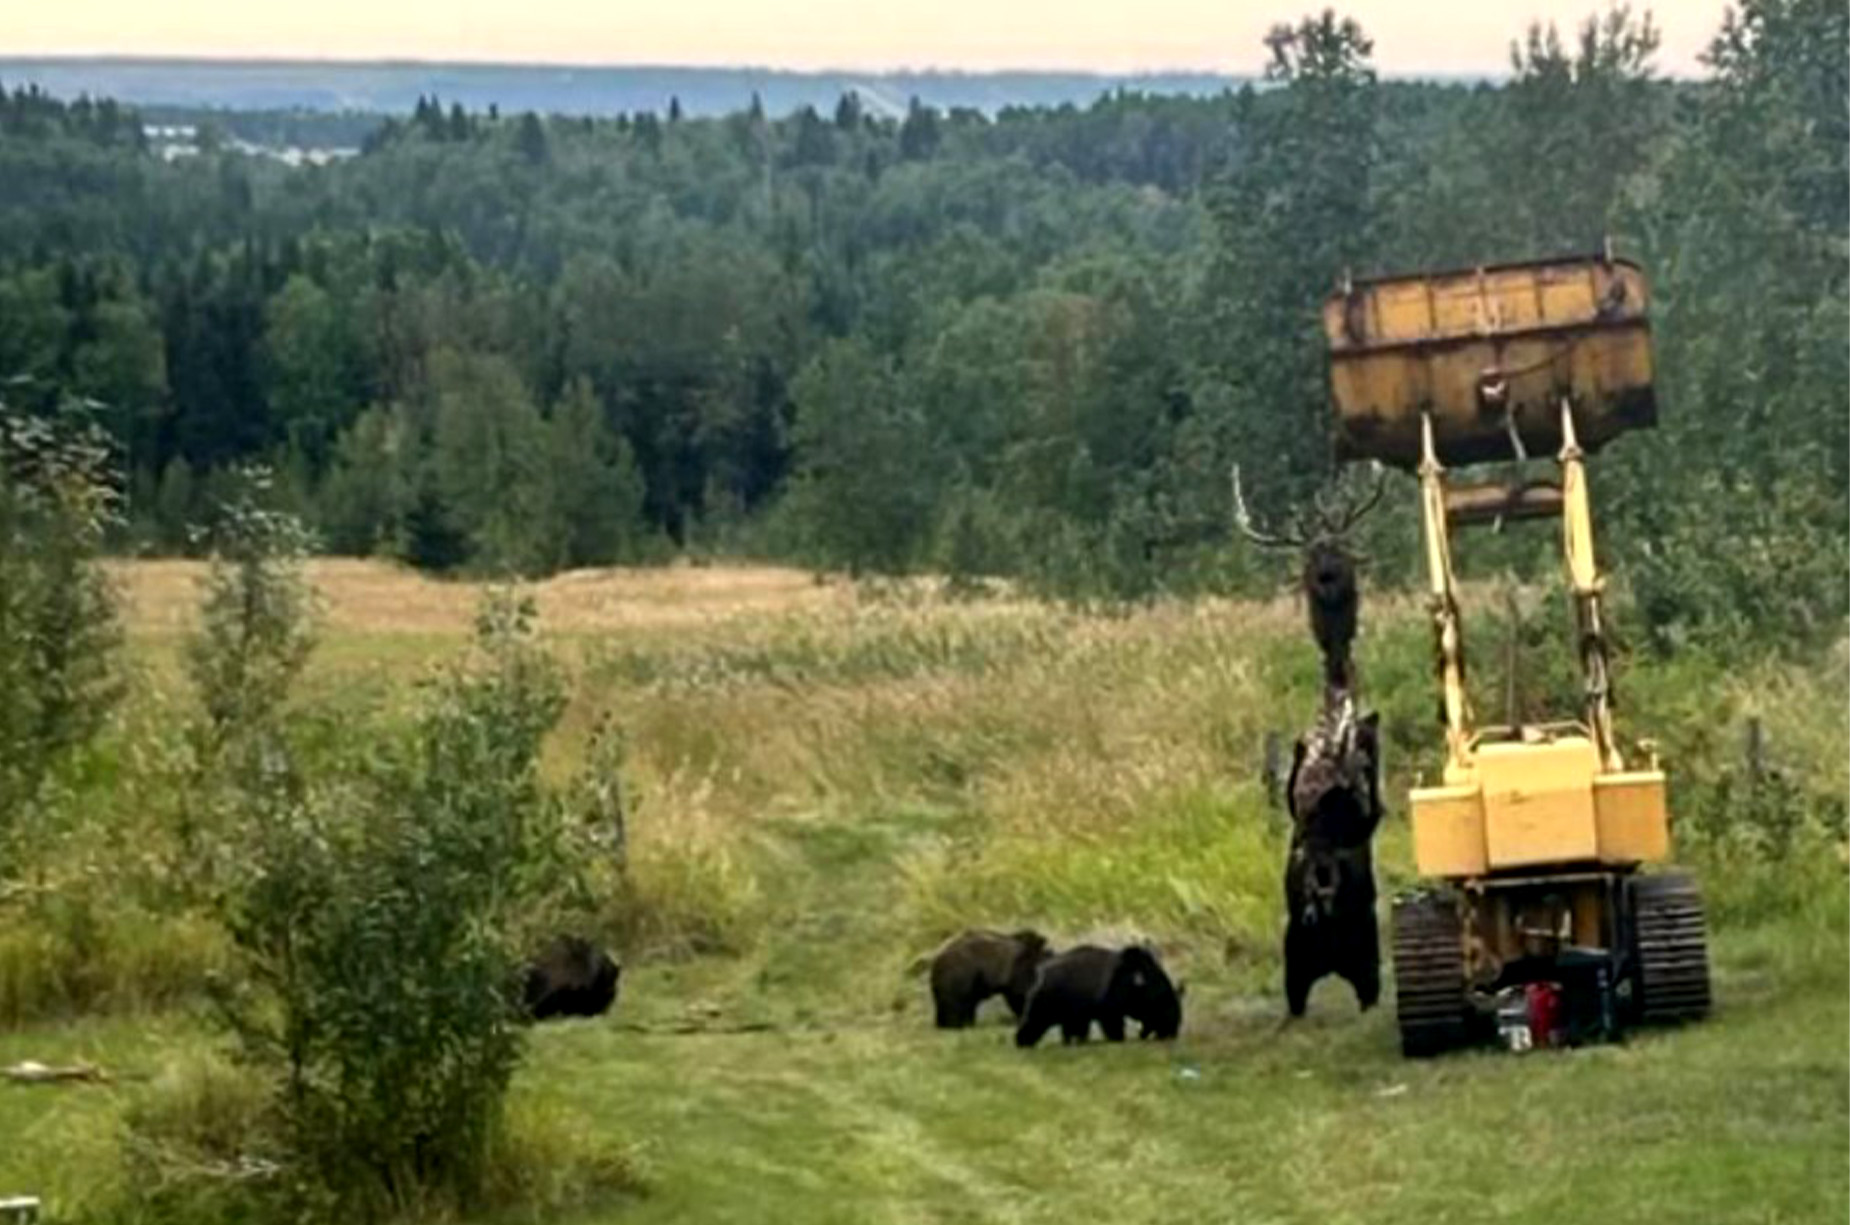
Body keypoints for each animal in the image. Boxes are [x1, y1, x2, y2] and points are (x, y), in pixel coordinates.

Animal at [925, 925, 1058, 1028]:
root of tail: (935, 963)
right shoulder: (1017, 973)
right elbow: (1020, 995)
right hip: (958, 977)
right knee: (955, 1005)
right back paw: (954, 1024)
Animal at [1013, 943, 1184, 1051]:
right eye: (1163, 1002)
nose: (1172, 1032)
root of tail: (1040, 974)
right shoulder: (1108, 1014)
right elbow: (1114, 1030)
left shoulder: (1084, 1017)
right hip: (1042, 1012)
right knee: (1031, 1024)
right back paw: (1023, 1041)